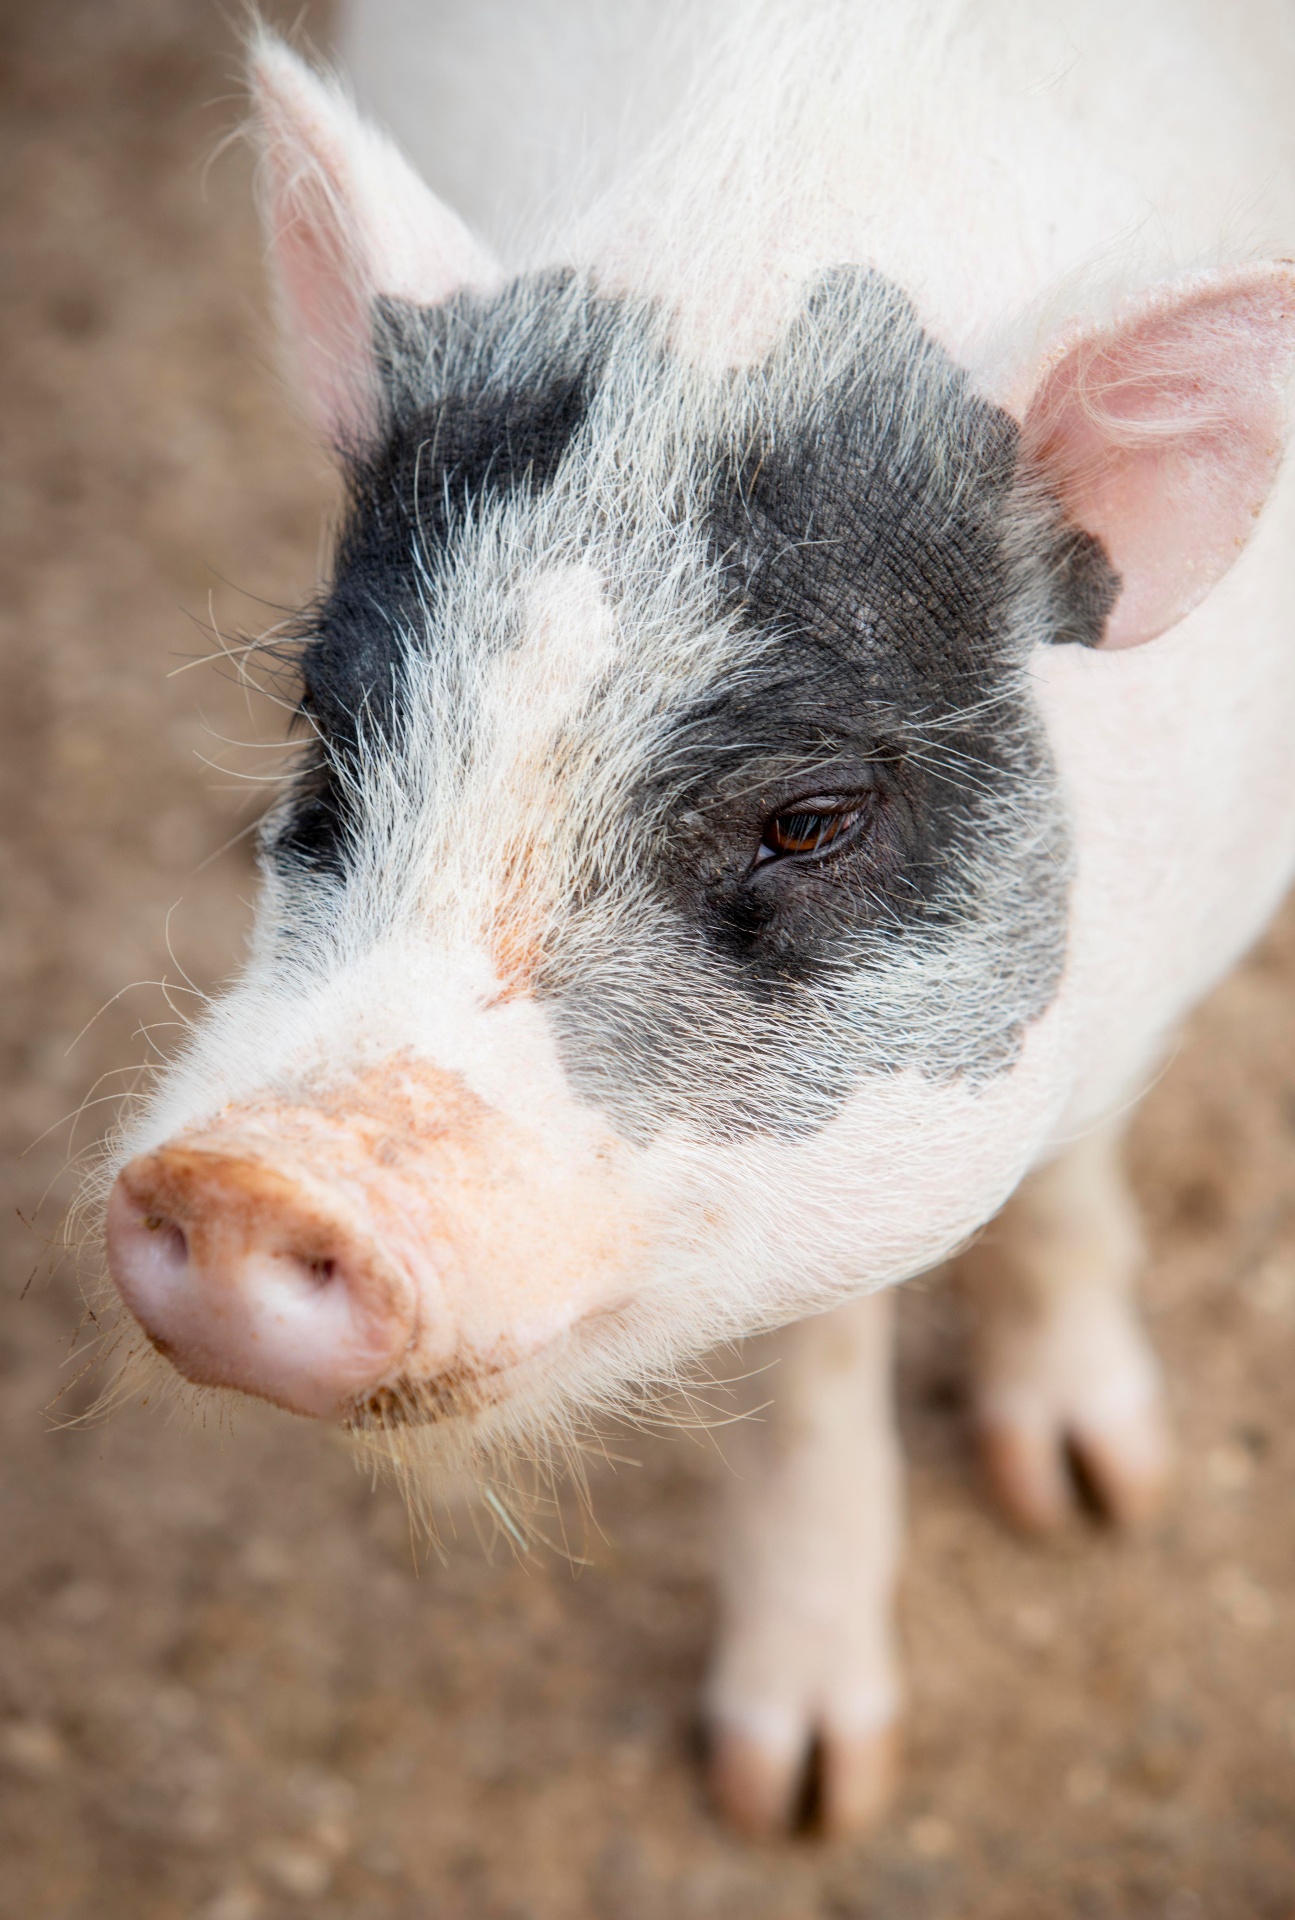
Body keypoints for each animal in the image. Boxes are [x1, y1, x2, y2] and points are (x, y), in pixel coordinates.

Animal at [98, 0, 1295, 1837]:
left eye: (810, 819)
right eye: (325, 729)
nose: (242, 1180)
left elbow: (1072, 1166)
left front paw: (1095, 1498)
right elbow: (808, 1365)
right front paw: (794, 1798)